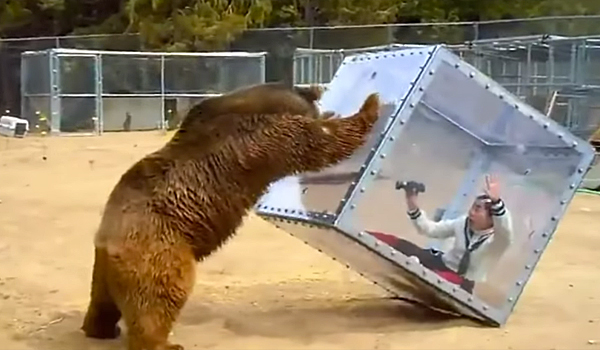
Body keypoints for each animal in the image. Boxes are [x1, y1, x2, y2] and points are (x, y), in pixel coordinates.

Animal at [79, 82, 380, 350]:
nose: (323, 109)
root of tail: (108, 240)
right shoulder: (264, 138)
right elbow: (321, 143)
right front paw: (370, 104)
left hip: (105, 269)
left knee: (103, 301)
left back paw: (101, 328)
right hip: (158, 249)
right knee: (159, 300)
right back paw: (163, 344)